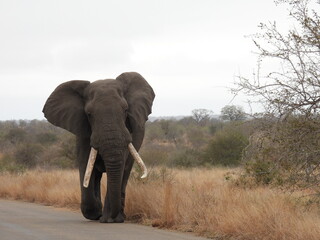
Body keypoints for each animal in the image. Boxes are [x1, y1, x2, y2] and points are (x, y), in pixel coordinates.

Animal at [42, 71, 155, 223]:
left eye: (126, 110)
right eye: (89, 114)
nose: (104, 217)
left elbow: (119, 168)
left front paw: (108, 220)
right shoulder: (83, 132)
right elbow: (86, 166)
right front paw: (95, 213)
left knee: (124, 173)